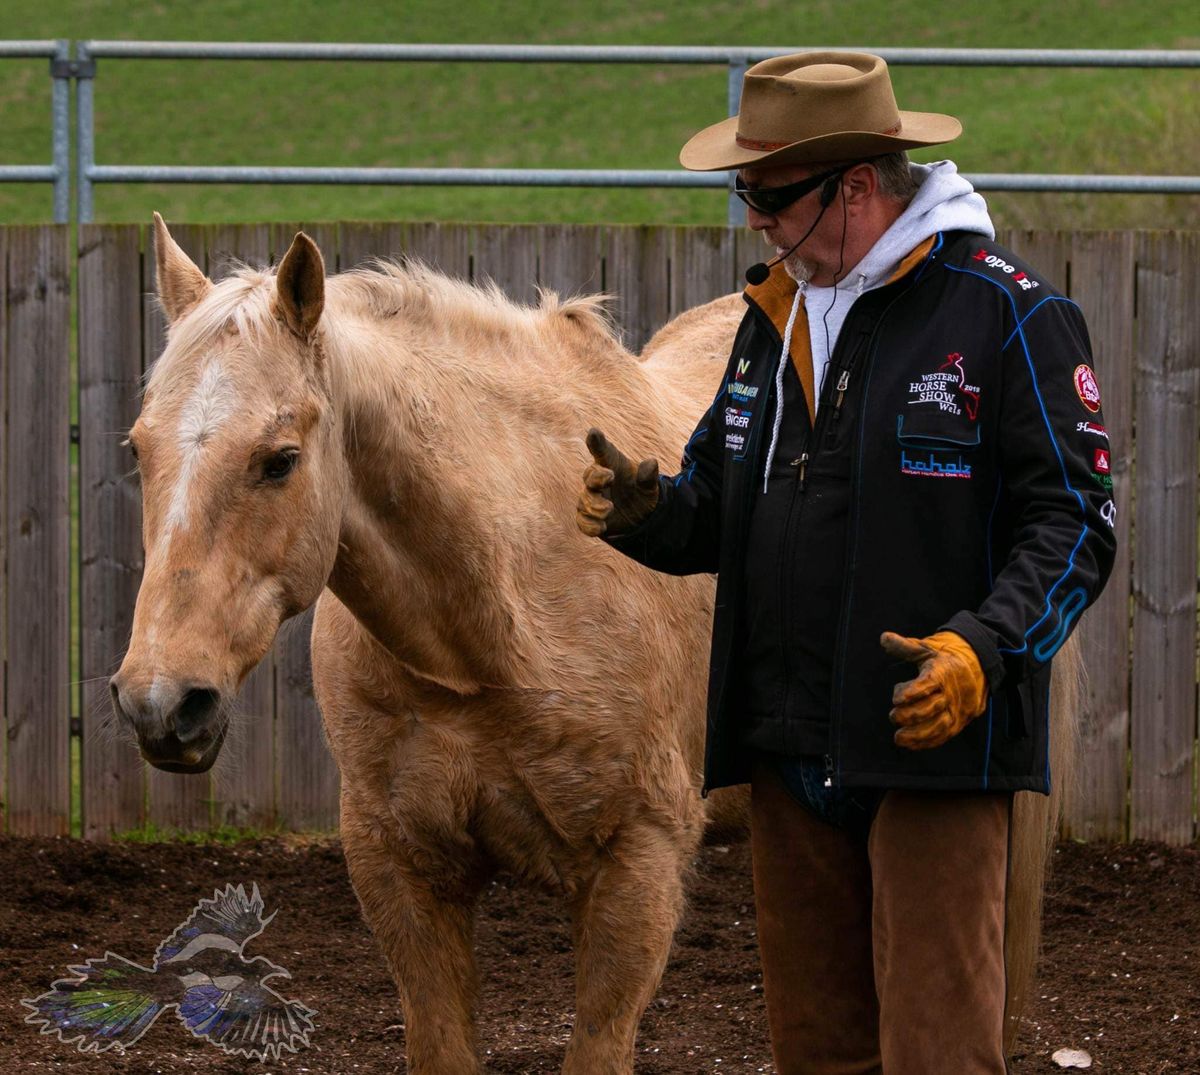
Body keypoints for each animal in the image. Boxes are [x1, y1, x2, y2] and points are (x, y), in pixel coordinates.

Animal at [112, 215, 1080, 1065]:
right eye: (137, 448)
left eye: (279, 459)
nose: (162, 701)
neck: (491, 625)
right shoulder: (400, 869)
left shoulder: (636, 873)